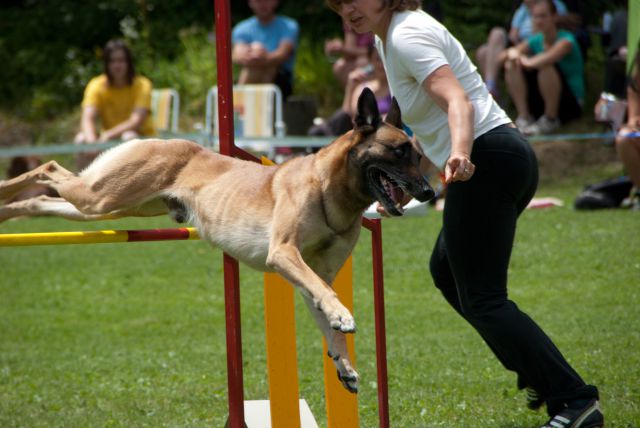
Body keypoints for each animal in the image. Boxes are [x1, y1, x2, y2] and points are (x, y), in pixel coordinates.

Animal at [0, 88, 432, 392]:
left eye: (417, 154)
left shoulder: (316, 273)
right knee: (47, 166)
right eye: (398, 151)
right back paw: (6, 190)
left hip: (105, 209)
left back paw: (6, 209)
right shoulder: (284, 254)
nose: (429, 193)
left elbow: (325, 316)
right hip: (102, 197)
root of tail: (161, 139)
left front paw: (343, 364)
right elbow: (328, 298)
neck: (330, 189)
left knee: (42, 199)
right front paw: (342, 315)